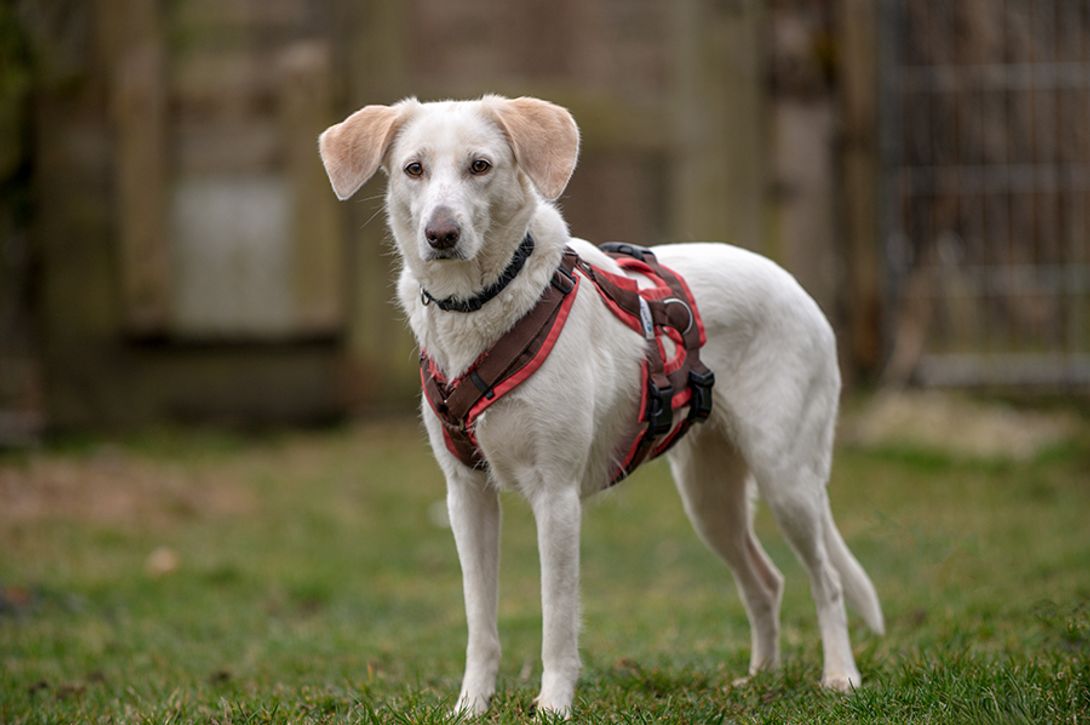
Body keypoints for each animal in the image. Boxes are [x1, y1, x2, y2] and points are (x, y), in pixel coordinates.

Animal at [318, 95, 884, 717]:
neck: (479, 304)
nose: (441, 233)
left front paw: (553, 706)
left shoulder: (557, 498)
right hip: (711, 499)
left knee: (827, 581)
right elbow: (479, 622)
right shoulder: (466, 496)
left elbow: (557, 622)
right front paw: (471, 707)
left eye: (480, 166)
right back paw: (760, 677)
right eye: (414, 169)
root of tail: (795, 286)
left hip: (787, 481)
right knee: (766, 582)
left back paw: (840, 676)